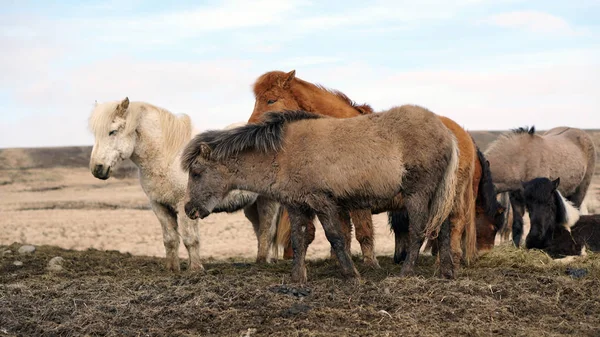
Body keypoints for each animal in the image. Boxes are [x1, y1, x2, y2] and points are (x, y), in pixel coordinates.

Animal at [88, 97, 258, 270]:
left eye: (112, 131)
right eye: (95, 133)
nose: (97, 168)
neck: (168, 157)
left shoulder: (186, 207)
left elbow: (190, 239)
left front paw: (195, 269)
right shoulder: (159, 205)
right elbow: (170, 239)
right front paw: (172, 269)